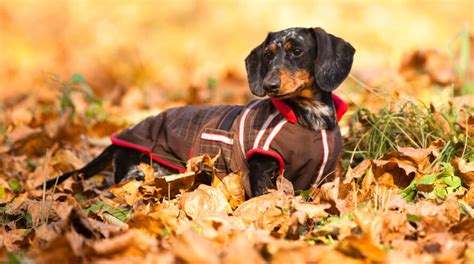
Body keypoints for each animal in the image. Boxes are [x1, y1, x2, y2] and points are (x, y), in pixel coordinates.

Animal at [44, 27, 354, 196]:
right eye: (268, 55)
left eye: (296, 51)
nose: (269, 85)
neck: (308, 121)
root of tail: (119, 139)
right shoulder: (261, 169)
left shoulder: (326, 175)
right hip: (139, 170)